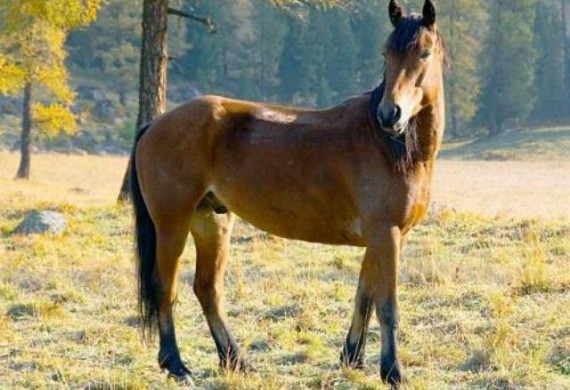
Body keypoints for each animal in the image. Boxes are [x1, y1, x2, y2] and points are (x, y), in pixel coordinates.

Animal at [130, 0, 444, 384]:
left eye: (424, 53)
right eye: (387, 54)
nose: (390, 114)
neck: (392, 148)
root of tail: (155, 124)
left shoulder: (380, 238)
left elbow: (364, 297)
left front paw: (352, 358)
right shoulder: (386, 235)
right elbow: (387, 306)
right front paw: (392, 371)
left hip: (211, 222)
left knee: (207, 289)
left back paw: (235, 360)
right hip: (172, 224)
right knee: (165, 287)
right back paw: (176, 365)